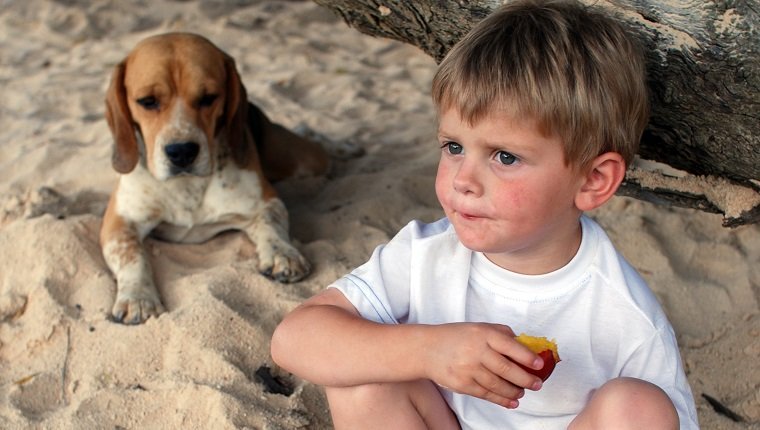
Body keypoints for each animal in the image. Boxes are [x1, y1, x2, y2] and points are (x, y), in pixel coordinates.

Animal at [100, 32, 326, 322]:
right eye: (148, 101)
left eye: (209, 97)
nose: (182, 152)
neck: (186, 186)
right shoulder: (119, 221)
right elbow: (131, 254)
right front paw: (138, 296)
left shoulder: (266, 202)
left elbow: (271, 225)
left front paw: (282, 254)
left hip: (305, 161)